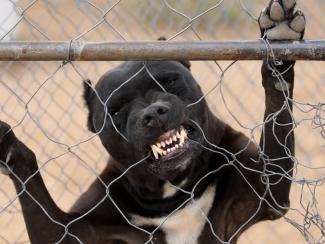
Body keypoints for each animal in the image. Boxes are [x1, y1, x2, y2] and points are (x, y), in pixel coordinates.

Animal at [0, 0, 304, 243]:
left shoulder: (267, 192)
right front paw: (10, 148)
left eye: (169, 81)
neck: (172, 194)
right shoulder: (69, 231)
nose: (153, 113)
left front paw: (279, 49)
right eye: (116, 111)